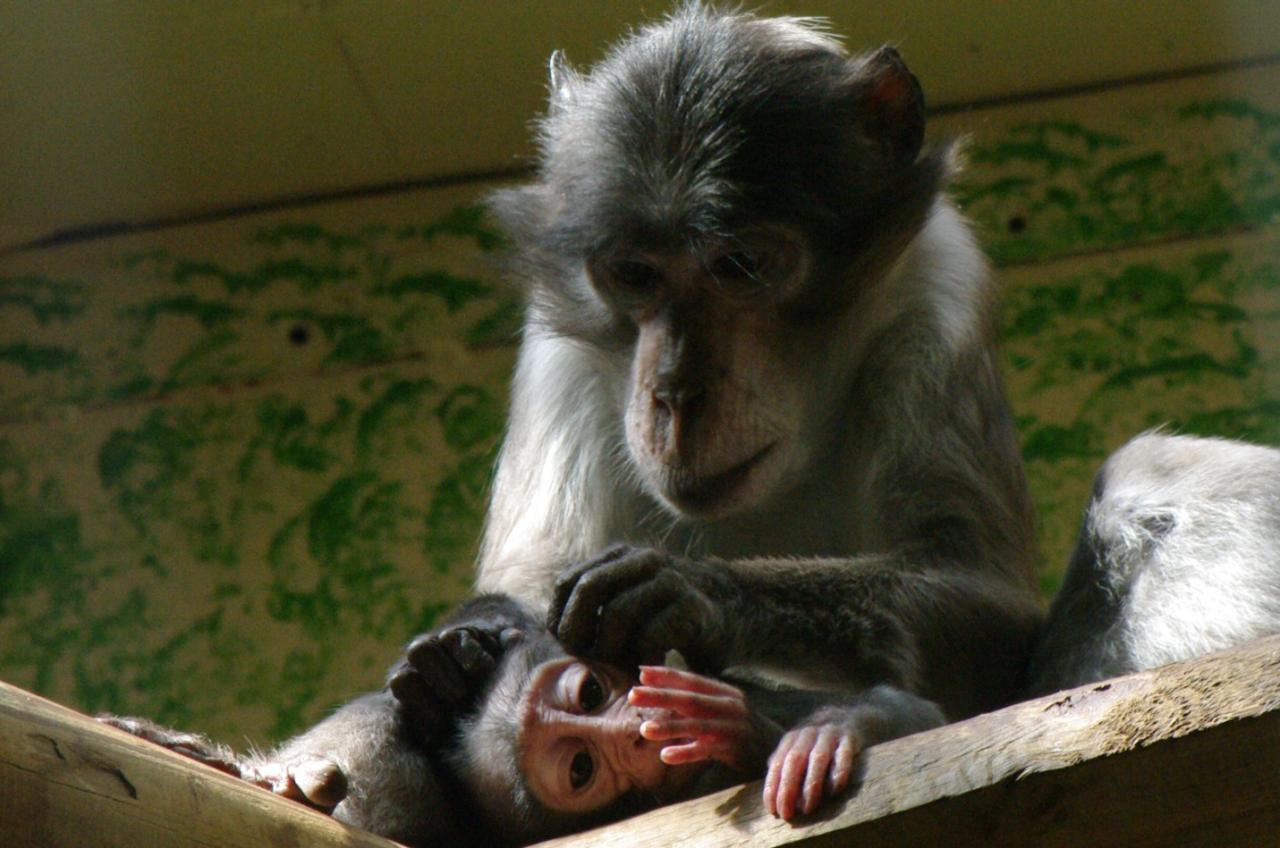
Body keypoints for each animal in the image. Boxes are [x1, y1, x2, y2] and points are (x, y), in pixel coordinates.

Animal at [465, 3, 1044, 727]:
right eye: (635, 274)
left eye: (737, 266)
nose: (675, 394)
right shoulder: (556, 356)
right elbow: (525, 583)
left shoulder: (939, 304)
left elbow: (991, 605)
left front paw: (698, 595)